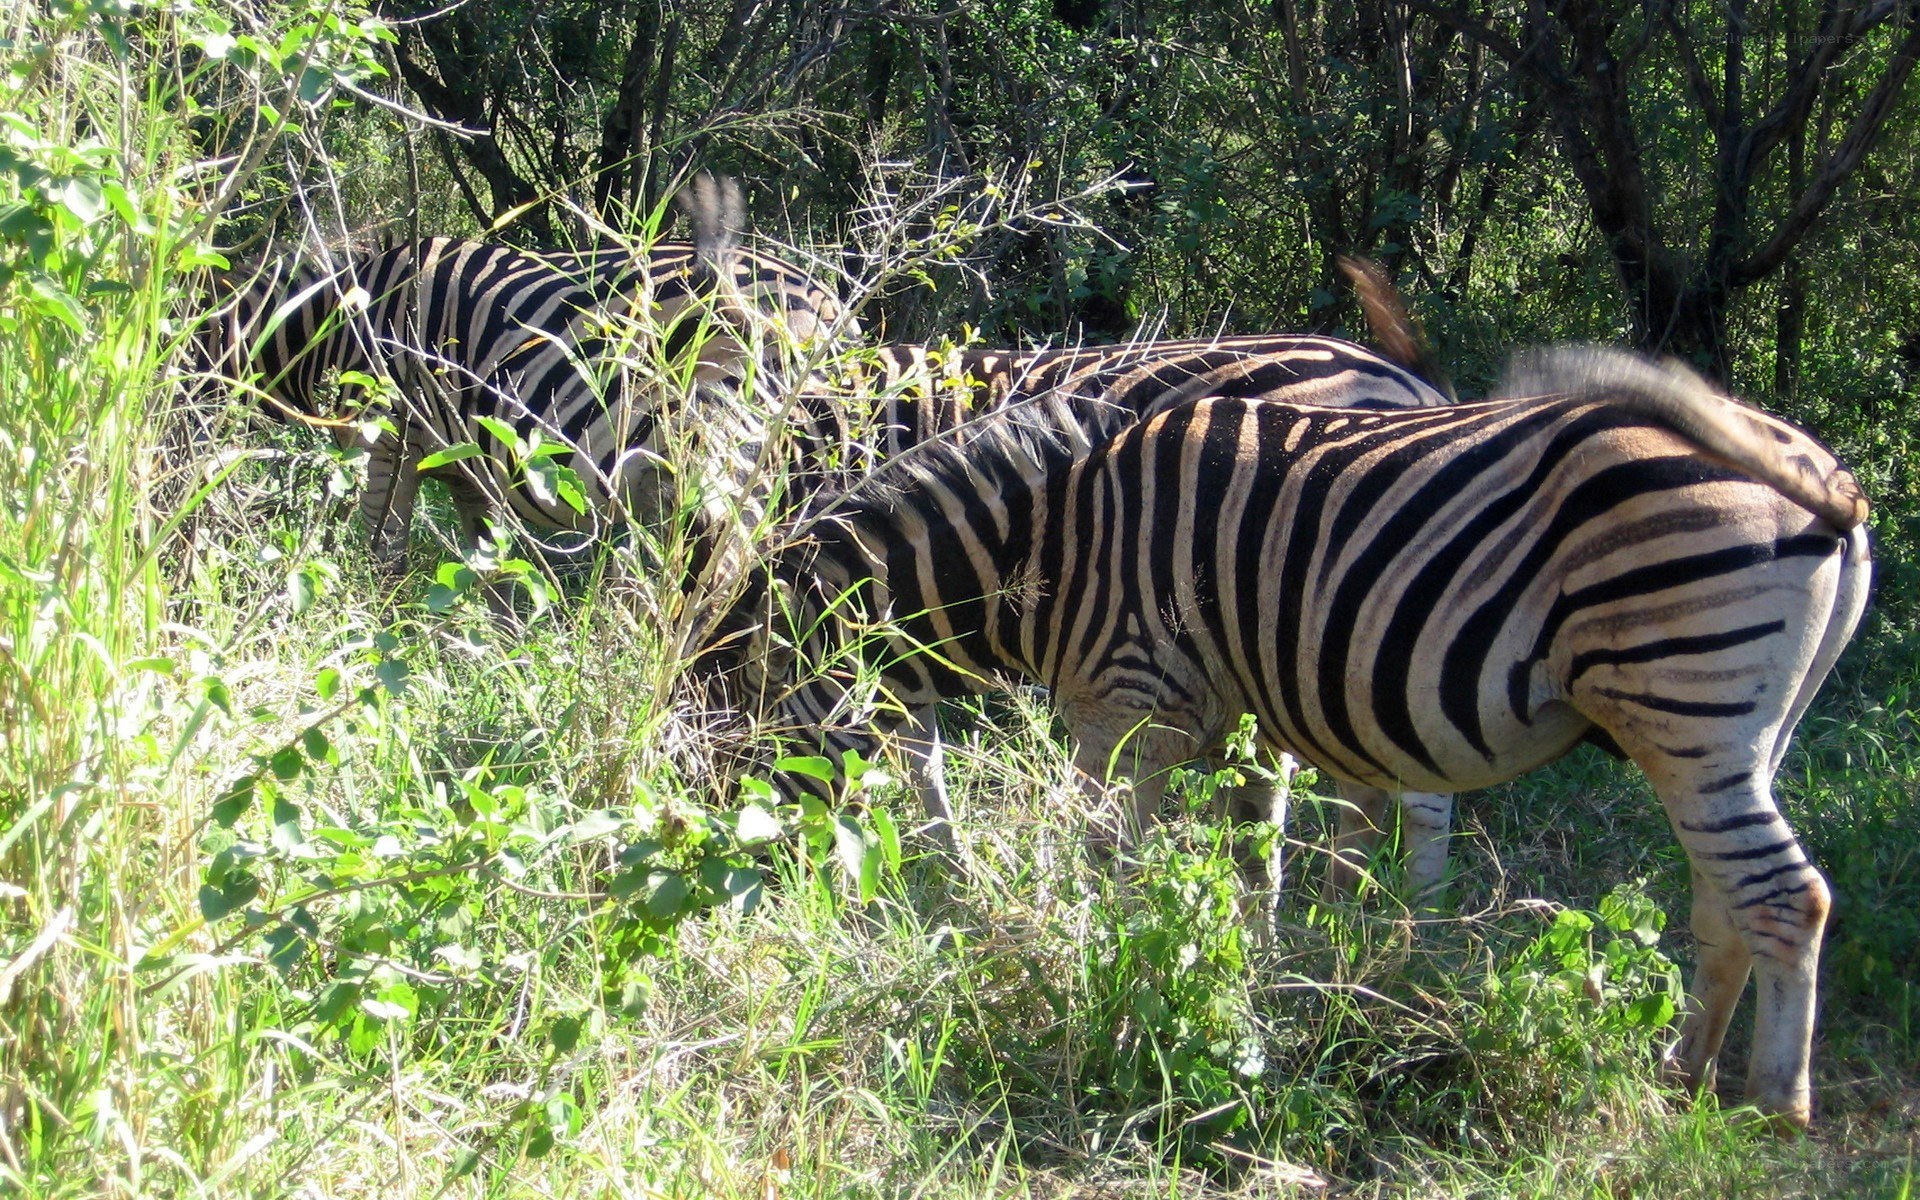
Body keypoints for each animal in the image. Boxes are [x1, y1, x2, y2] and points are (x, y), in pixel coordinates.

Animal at [709, 345, 1870, 1128]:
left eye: (752, 725)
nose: (759, 913)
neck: (1051, 545)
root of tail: (1827, 478)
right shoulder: (1237, 709)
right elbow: (1245, 854)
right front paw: (1247, 984)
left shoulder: (1128, 704)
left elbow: (1107, 861)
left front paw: (1091, 979)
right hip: (1734, 730)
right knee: (1726, 900)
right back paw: (1682, 1074)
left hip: (1686, 695)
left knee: (1787, 899)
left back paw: (1771, 1107)